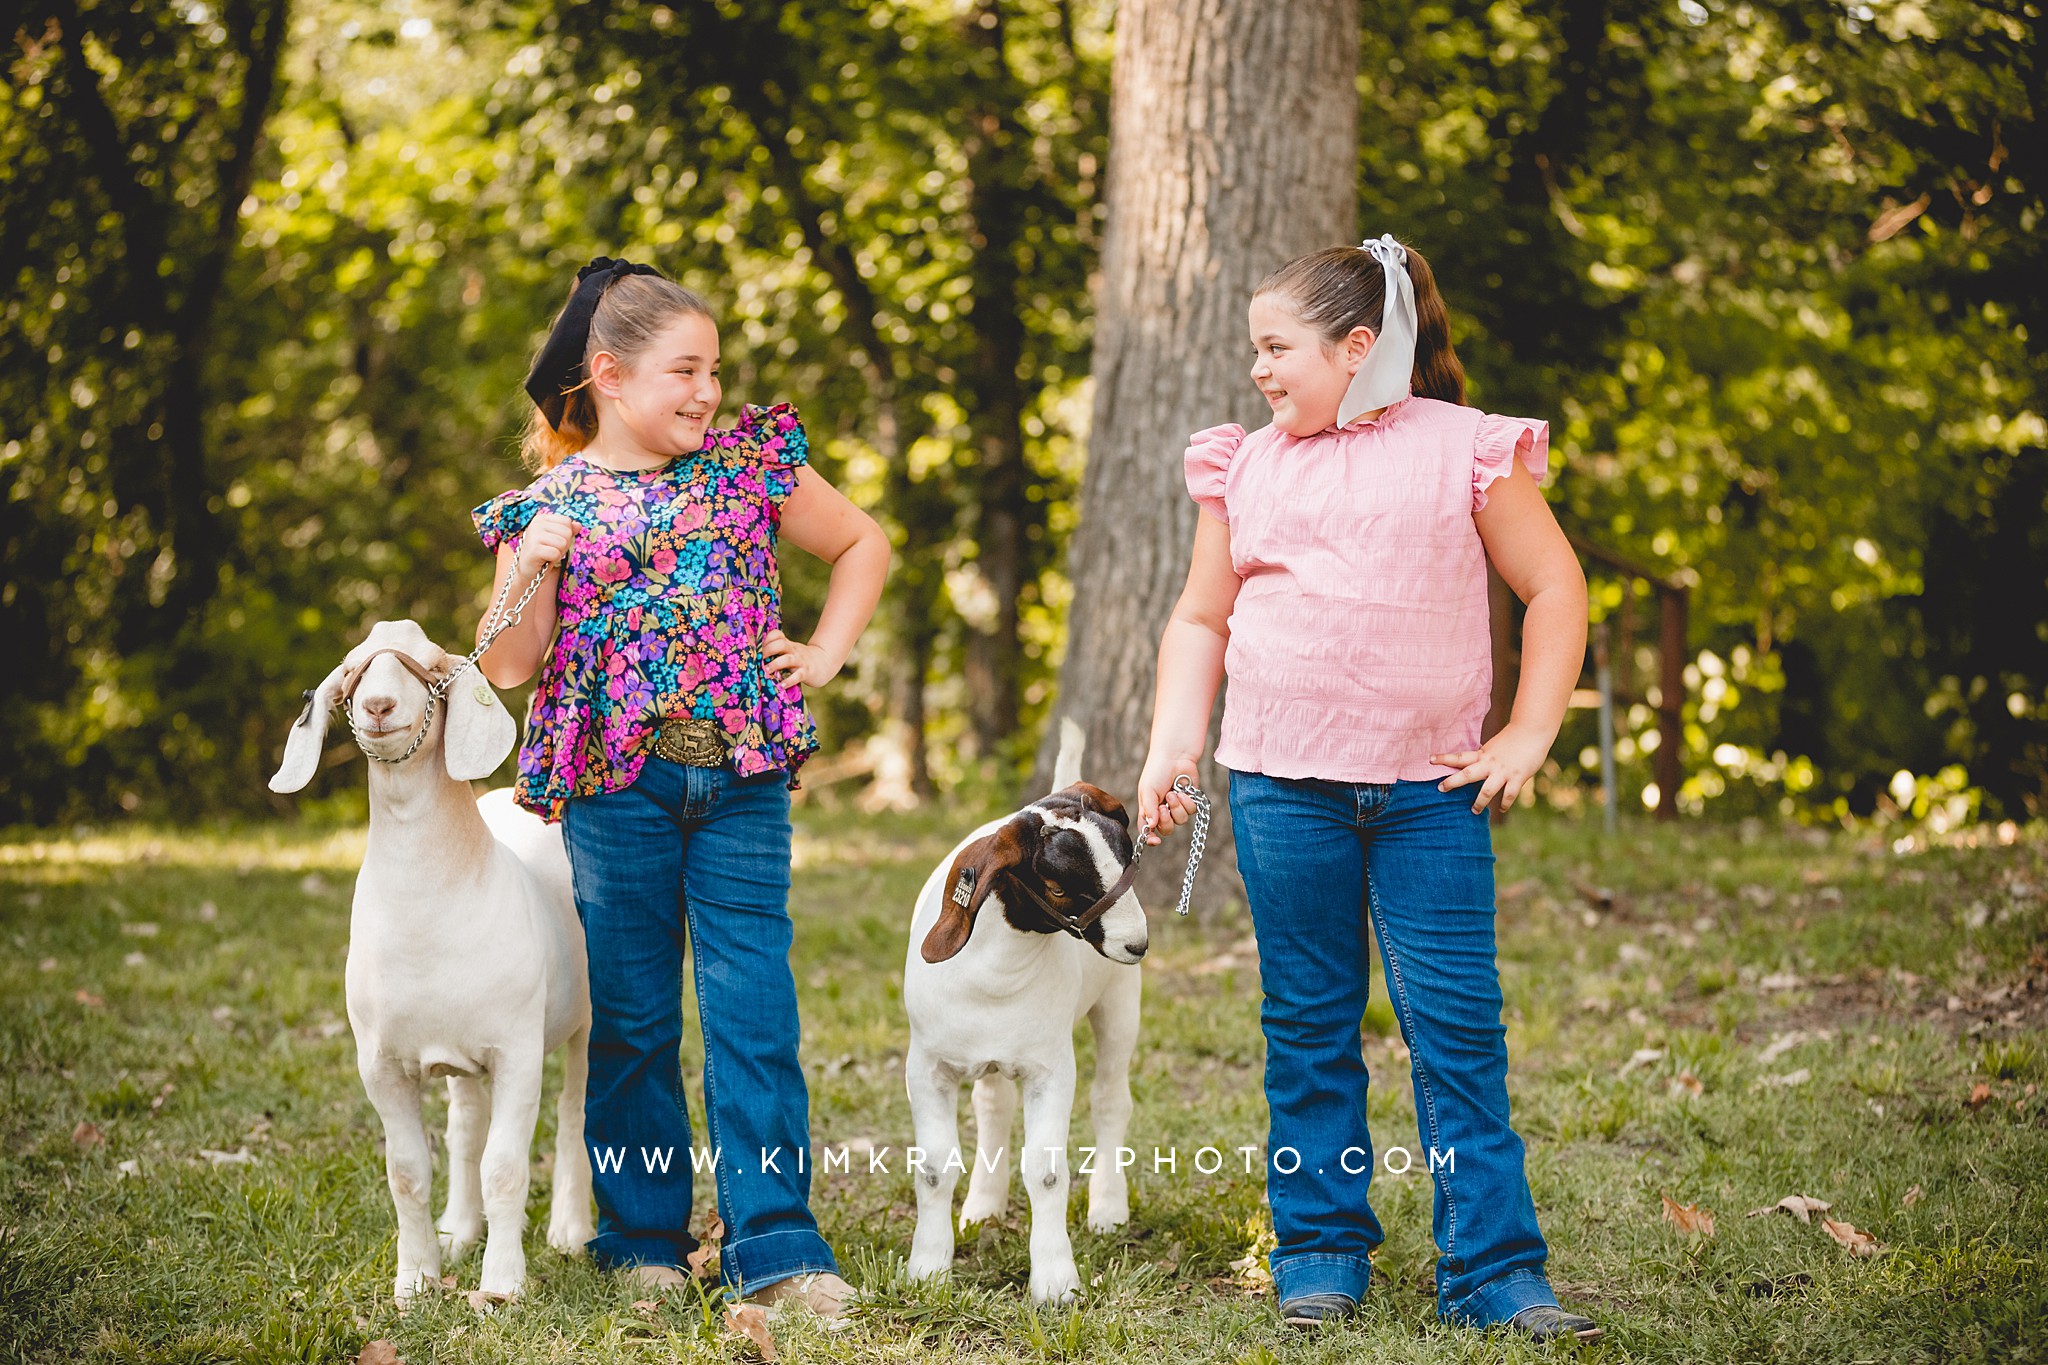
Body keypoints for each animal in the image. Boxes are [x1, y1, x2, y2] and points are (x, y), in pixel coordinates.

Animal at [268, 618, 598, 1301]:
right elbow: (407, 1171)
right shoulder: (381, 1064)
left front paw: (501, 1286)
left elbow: (507, 1168)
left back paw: (569, 1232)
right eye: (353, 671)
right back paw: (459, 1230)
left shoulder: (517, 1051)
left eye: (429, 668)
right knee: (467, 1125)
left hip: (585, 1021)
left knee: (573, 1112)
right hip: (460, 1055)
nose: (378, 706)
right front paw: (416, 1281)